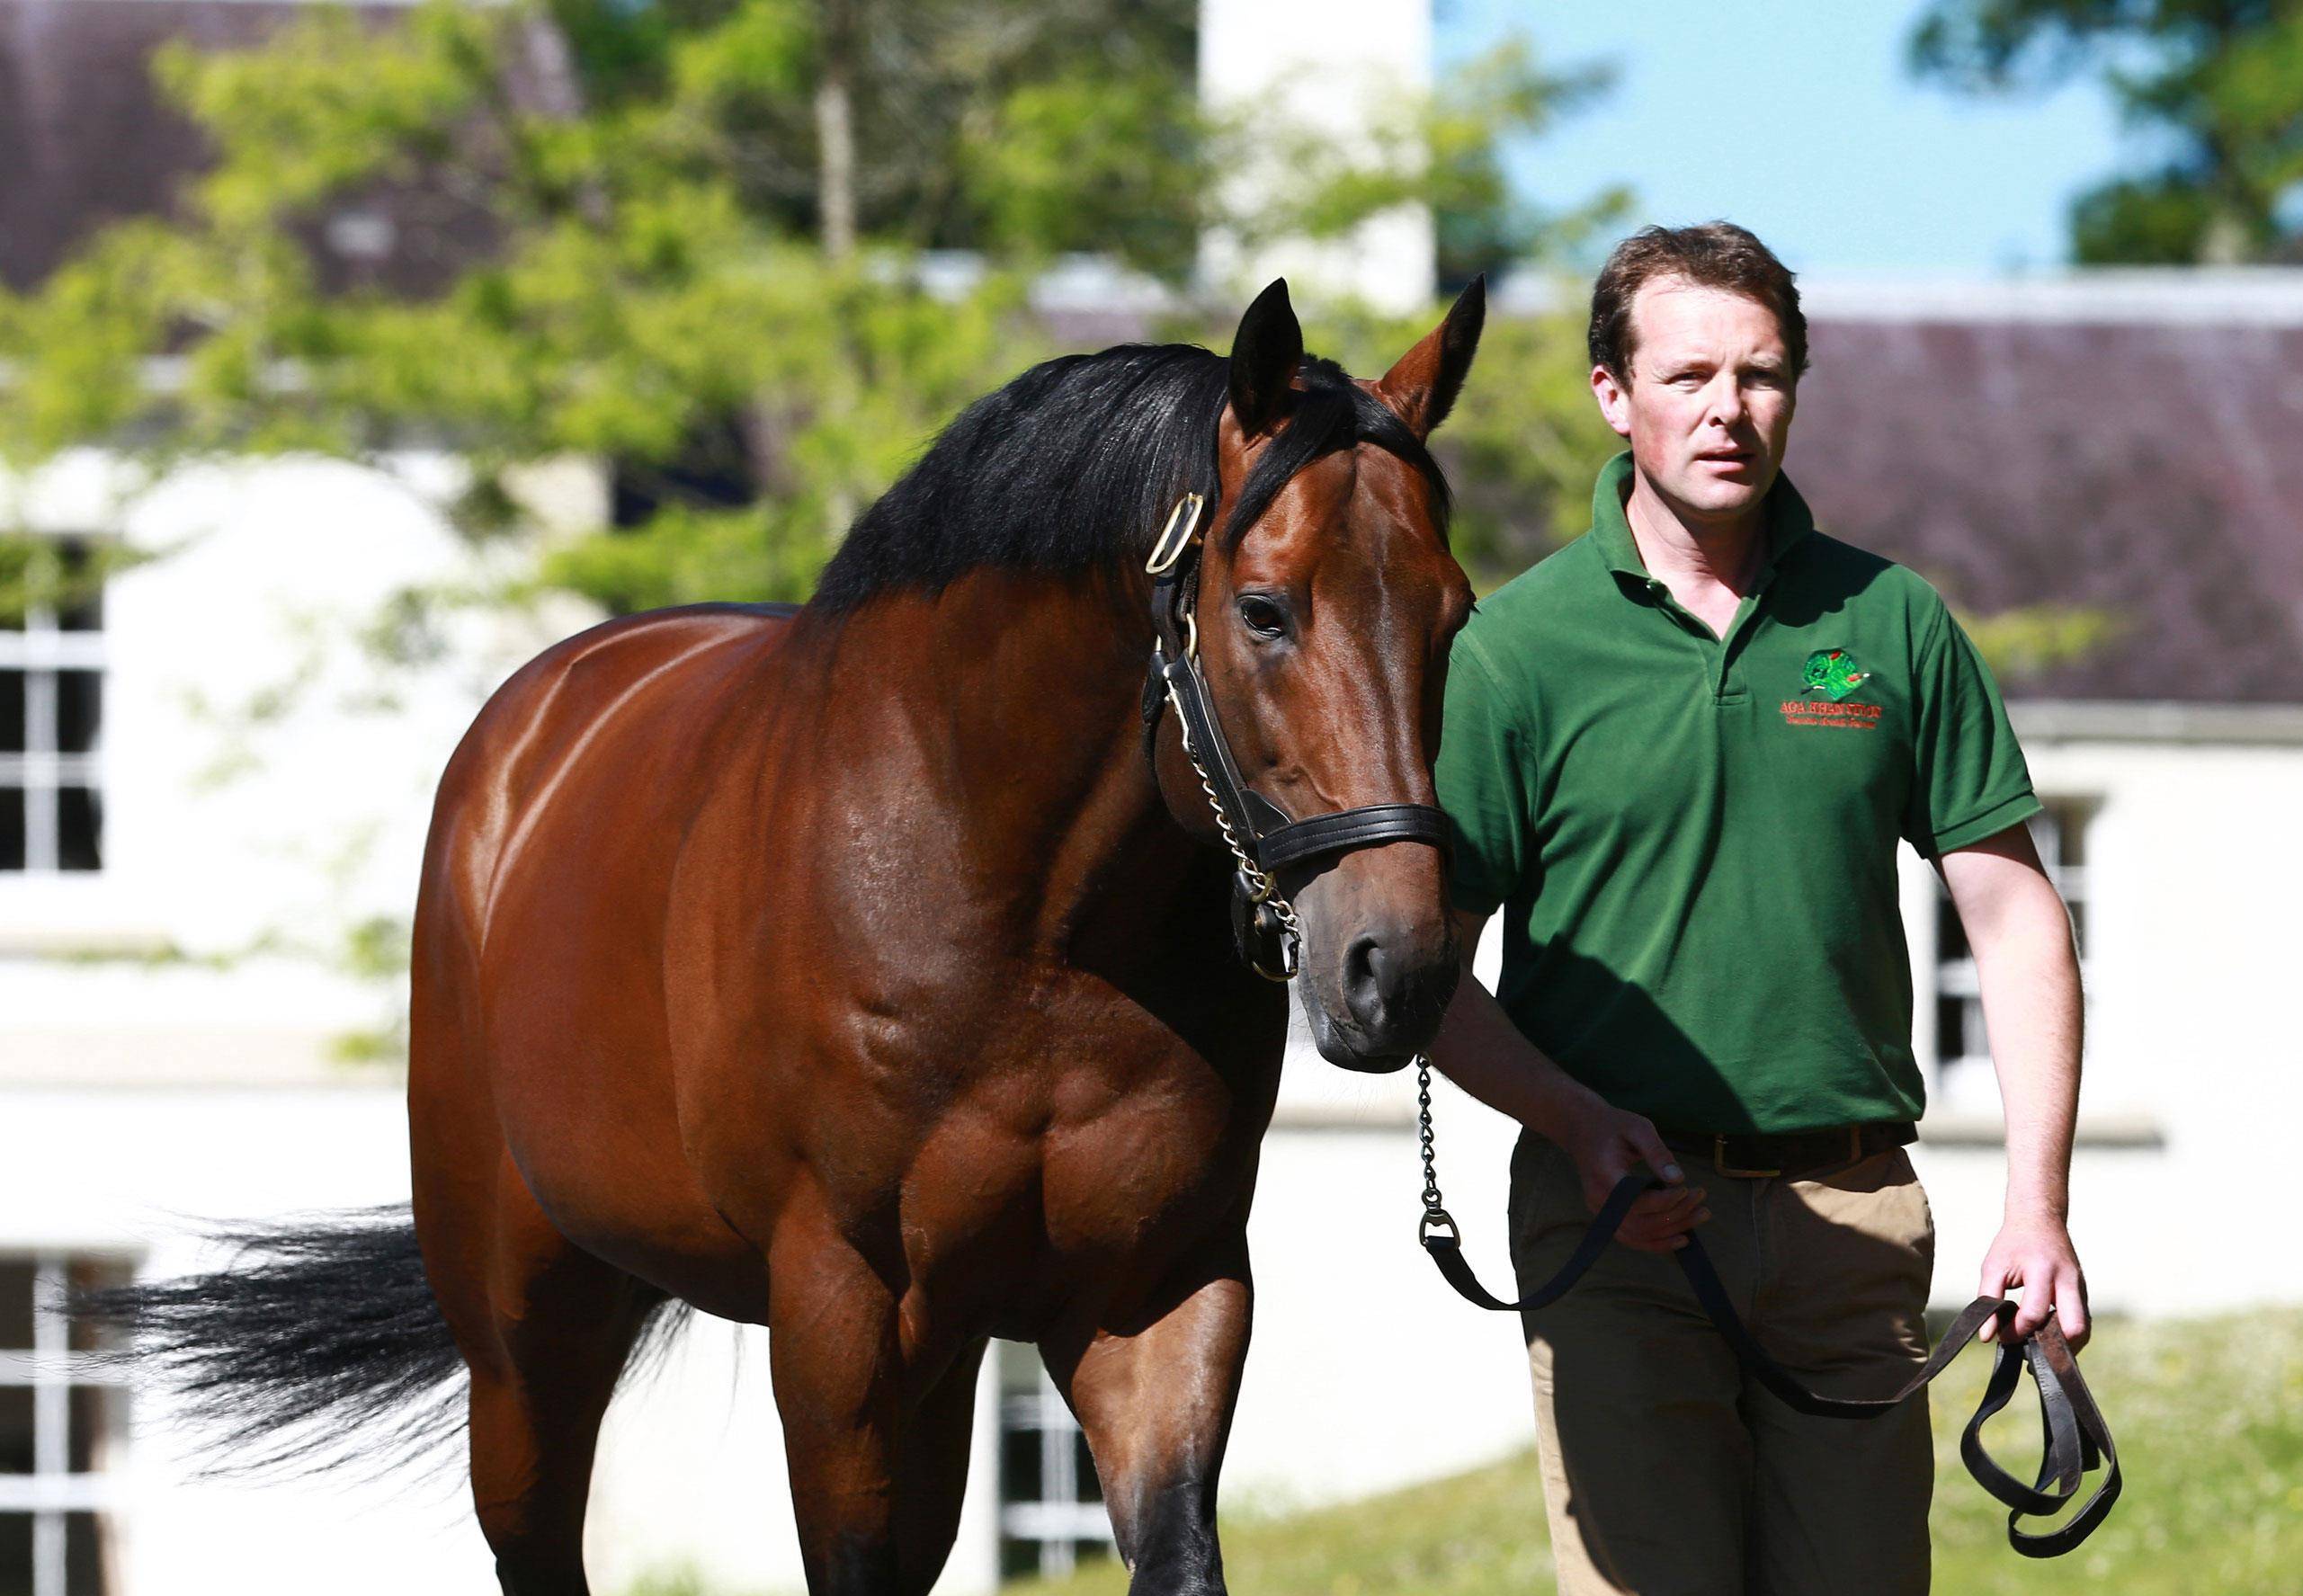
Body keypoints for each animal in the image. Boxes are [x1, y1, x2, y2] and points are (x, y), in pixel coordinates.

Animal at [81, 280, 1483, 1584]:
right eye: (1263, 608)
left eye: (1455, 613)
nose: (1394, 965)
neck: (1021, 929)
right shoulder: (839, 1307)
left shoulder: (1159, 1288)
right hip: (526, 1326)